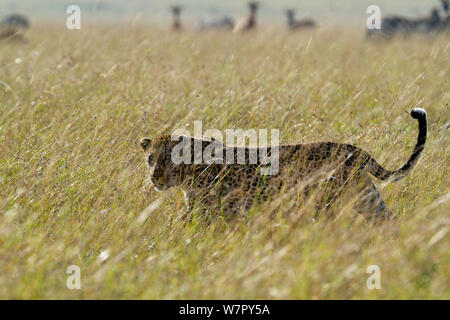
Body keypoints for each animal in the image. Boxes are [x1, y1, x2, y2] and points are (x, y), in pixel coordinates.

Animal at [141, 109, 428, 221]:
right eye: (151, 159)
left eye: (168, 159)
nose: (156, 177)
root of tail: (353, 148)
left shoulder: (212, 213)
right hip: (367, 197)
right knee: (390, 221)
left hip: (331, 199)